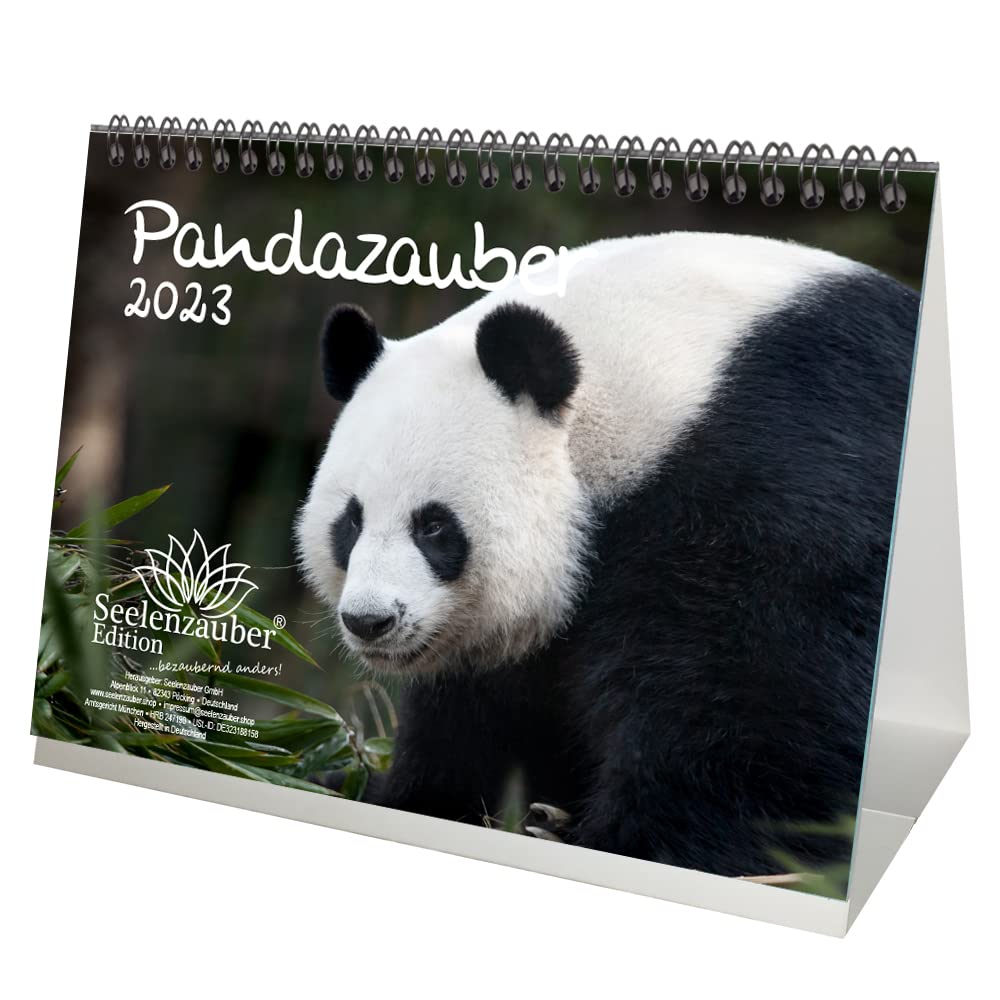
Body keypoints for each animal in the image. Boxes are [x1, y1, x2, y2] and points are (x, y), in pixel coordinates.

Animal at [296, 231, 918, 878]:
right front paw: (396, 792)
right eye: (350, 523)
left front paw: (627, 840)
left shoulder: (784, 475)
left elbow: (766, 702)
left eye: (435, 526)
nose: (369, 621)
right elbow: (480, 711)